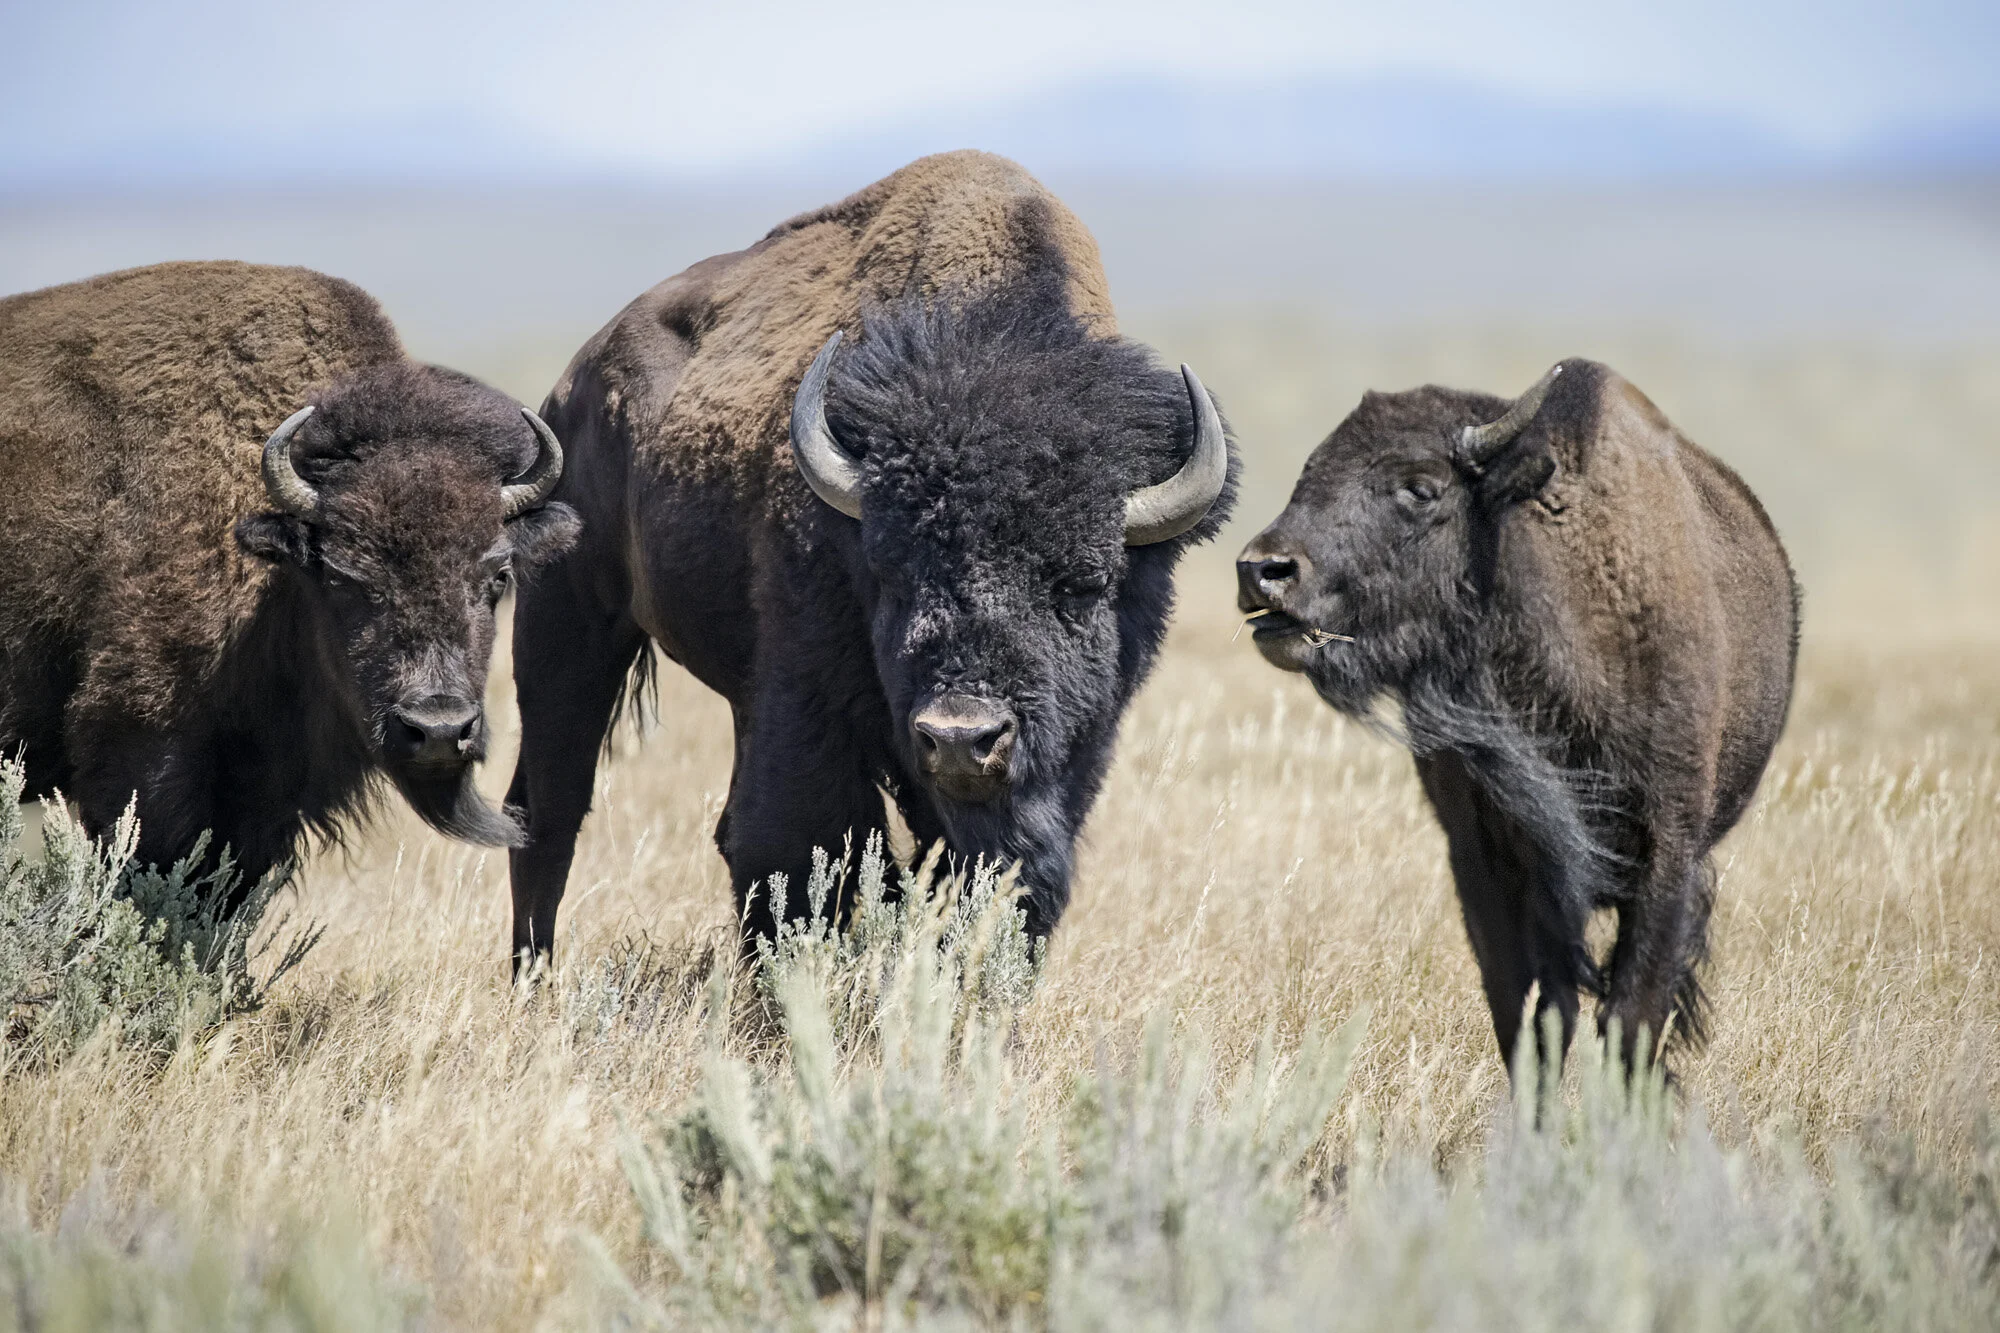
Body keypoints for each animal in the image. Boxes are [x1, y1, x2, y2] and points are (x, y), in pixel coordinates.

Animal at [506, 151, 1237, 969]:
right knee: (547, 810)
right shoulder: (810, 699)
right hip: (567, 625)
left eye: (1084, 582)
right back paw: (534, 980)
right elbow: (802, 849)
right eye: (893, 574)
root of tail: (574, 383)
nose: (962, 737)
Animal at [1237, 359, 1798, 1074]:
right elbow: (1528, 1015)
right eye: (1309, 470)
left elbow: (1630, 1019)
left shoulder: (1666, 855)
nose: (1263, 569)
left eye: (1421, 488)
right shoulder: (1490, 861)